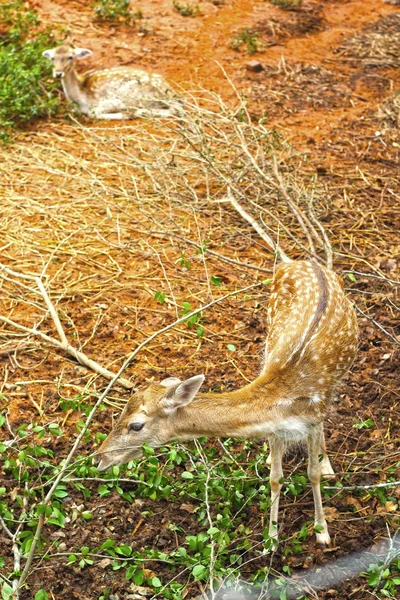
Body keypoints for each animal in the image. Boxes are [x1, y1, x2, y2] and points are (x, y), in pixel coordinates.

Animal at [41, 45, 183, 120]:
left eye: (70, 57)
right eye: (52, 58)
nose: (58, 73)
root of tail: (172, 93)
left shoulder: (110, 101)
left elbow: (94, 112)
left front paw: (123, 114)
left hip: (131, 95)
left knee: (175, 110)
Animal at [95, 260, 358, 548]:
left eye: (136, 425)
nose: (99, 457)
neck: (284, 398)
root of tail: (301, 261)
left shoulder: (313, 415)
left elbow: (313, 474)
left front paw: (322, 531)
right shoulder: (277, 428)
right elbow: (275, 478)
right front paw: (271, 538)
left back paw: (327, 464)